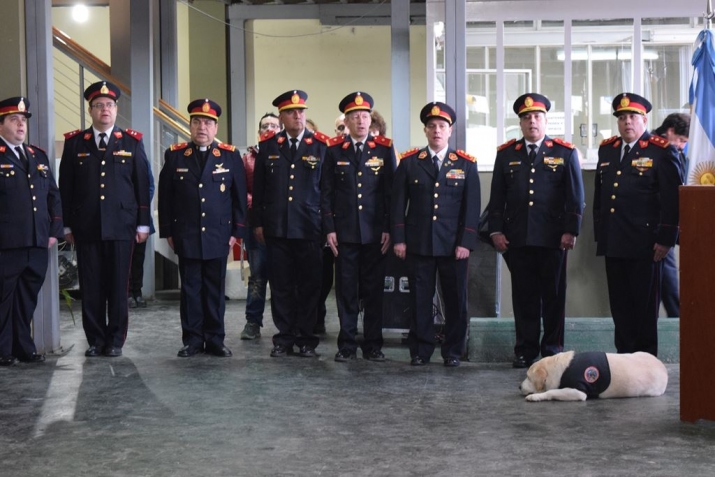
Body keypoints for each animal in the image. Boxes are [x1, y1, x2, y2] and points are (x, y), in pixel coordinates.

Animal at [524, 350, 668, 402]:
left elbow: (552, 391)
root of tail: (663, 368)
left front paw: (535, 396)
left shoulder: (579, 391)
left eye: (528, 377)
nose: (519, 387)